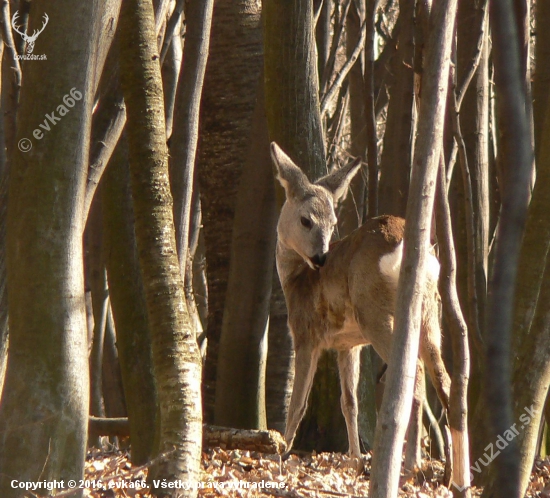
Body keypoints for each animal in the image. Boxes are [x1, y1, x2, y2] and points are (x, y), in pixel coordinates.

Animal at [272, 142, 452, 458]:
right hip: (430, 312)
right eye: (306, 220)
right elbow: (350, 402)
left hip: (375, 313)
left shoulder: (306, 333)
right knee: (443, 378)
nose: (321, 257)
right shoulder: (348, 343)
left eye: (332, 222)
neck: (295, 279)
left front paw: (282, 450)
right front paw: (355, 456)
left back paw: (411, 460)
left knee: (415, 374)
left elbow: (298, 403)